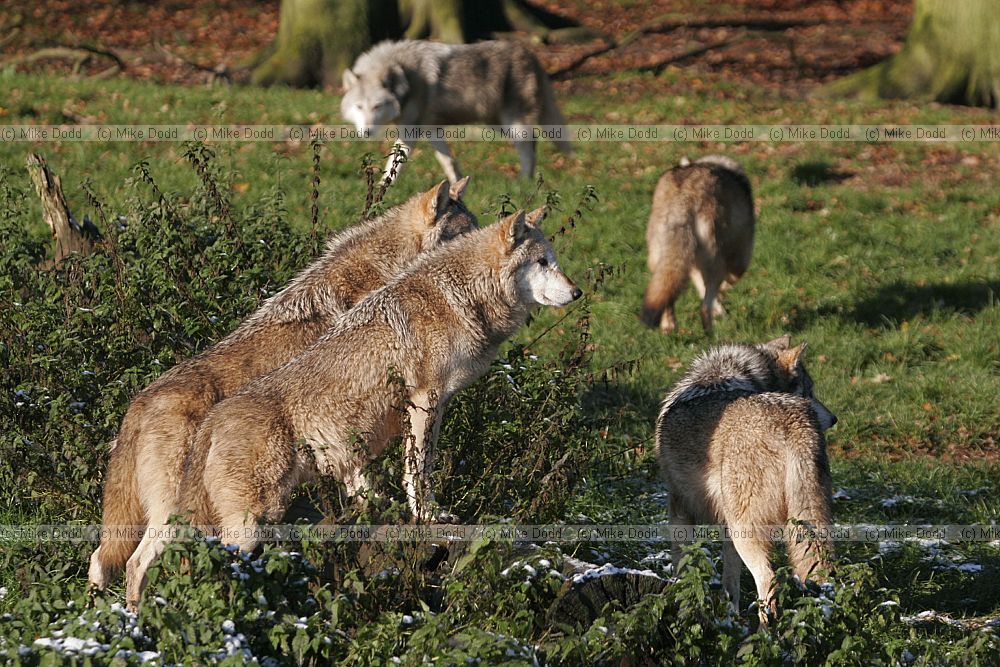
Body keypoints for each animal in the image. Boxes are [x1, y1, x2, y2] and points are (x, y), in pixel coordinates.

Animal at [122, 208, 582, 608]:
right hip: (246, 525)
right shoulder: (424, 401)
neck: (460, 295)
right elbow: (419, 471)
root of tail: (213, 420)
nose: (577, 292)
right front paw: (429, 514)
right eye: (542, 262)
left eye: (555, 261)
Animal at [341, 40, 572, 184]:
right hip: (497, 123)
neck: (406, 76)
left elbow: (393, 165)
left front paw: (381, 189)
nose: (366, 133)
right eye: (359, 106)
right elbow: (448, 161)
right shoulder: (430, 129)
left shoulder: (410, 131)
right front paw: (457, 185)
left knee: (529, 147)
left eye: (377, 106)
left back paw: (524, 182)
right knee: (533, 143)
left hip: (513, 124)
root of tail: (531, 54)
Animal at [642, 154, 755, 334]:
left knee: (666, 294)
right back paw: (711, 333)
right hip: (716, 264)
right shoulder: (740, 261)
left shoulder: (692, 265)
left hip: (660, 260)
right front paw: (720, 308)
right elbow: (726, 285)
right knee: (704, 306)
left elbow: (702, 288)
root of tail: (684, 198)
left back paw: (669, 327)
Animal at [655, 335, 837, 622]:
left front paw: (683, 616)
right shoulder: (723, 526)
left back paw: (765, 632)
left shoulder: (679, 508)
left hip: (746, 531)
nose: (834, 418)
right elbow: (730, 583)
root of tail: (794, 423)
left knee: (768, 580)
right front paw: (729, 618)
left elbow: (682, 569)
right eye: (809, 391)